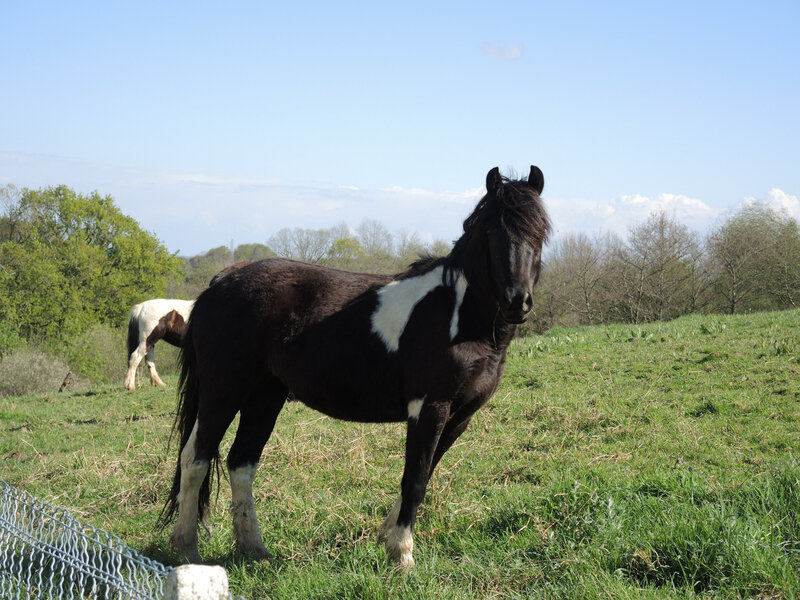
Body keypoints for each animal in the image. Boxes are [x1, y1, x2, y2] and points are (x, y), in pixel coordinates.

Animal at [162, 168, 552, 568]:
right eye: (491, 233)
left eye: (541, 233)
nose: (517, 302)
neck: (458, 314)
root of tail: (221, 281)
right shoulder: (428, 407)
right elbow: (414, 478)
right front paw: (402, 554)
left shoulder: (461, 415)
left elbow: (425, 473)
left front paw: (388, 536)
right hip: (223, 392)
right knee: (195, 459)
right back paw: (188, 549)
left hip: (264, 397)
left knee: (241, 462)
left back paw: (254, 549)